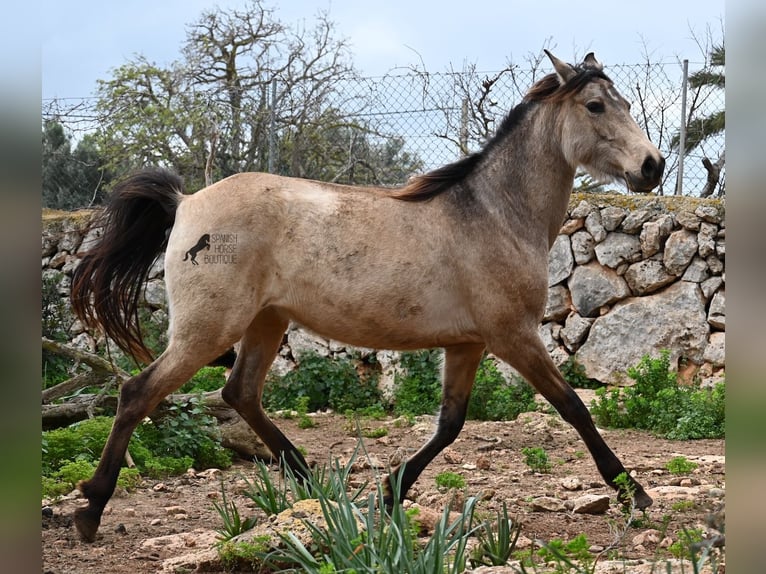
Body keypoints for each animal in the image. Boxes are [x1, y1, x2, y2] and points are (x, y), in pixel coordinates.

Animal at [70, 50, 664, 544]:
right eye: (594, 105)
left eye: (626, 103)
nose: (652, 166)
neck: (494, 214)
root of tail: (187, 201)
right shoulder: (512, 336)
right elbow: (573, 407)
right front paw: (634, 493)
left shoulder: (468, 344)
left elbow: (450, 423)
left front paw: (389, 491)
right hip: (208, 328)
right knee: (138, 393)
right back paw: (90, 510)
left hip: (267, 322)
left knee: (240, 394)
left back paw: (317, 487)